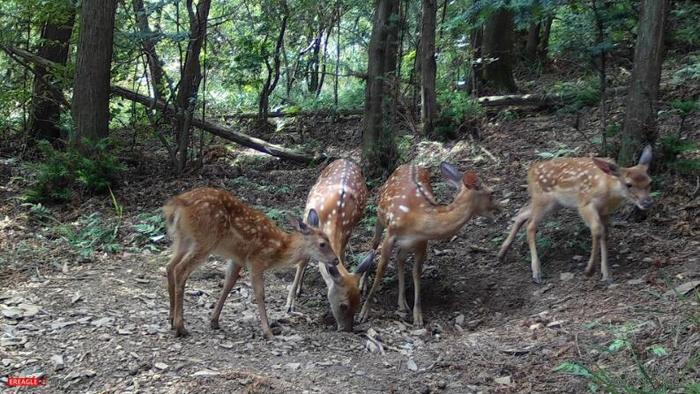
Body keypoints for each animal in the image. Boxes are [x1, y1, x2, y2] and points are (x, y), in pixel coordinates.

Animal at [164, 188, 340, 338]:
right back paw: (181, 327)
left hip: (184, 239)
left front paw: (214, 321)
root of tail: (177, 204)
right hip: (205, 240)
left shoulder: (237, 258)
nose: (336, 260)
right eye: (322, 244)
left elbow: (228, 284)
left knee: (170, 266)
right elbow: (260, 294)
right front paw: (268, 332)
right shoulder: (256, 260)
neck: (279, 249)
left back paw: (171, 319)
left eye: (329, 239)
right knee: (180, 270)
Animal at [284, 159, 374, 330]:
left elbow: (340, 257)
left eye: (358, 303)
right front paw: (290, 304)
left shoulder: (347, 232)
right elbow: (303, 260)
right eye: (343, 305)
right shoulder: (308, 220)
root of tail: (346, 159)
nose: (347, 329)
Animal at [358, 163, 500, 326]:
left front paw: (418, 317)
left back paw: (402, 303)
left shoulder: (422, 242)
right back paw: (363, 284)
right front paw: (364, 312)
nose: (500, 209)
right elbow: (381, 269)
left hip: (406, 243)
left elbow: (416, 272)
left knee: (400, 257)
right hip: (380, 216)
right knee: (374, 245)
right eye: (491, 192)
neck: (418, 220)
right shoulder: (391, 233)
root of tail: (410, 164)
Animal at [498, 145, 652, 284]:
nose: (646, 202)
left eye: (650, 182)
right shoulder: (584, 203)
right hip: (543, 199)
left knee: (522, 213)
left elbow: (605, 234)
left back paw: (501, 253)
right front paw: (589, 270)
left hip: (552, 203)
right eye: (629, 184)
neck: (608, 190)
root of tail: (530, 173)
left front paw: (606, 275)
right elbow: (597, 229)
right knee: (530, 225)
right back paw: (536, 273)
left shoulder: (605, 211)